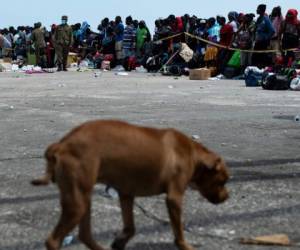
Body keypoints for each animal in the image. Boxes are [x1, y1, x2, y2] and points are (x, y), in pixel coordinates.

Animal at [31, 120, 229, 249]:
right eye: (223, 181)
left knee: (84, 234)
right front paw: (185, 246)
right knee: (53, 241)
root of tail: (61, 145)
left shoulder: (126, 194)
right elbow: (178, 231)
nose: (227, 197)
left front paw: (120, 241)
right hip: (77, 201)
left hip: (82, 197)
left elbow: (130, 227)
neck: (193, 154)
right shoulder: (174, 198)